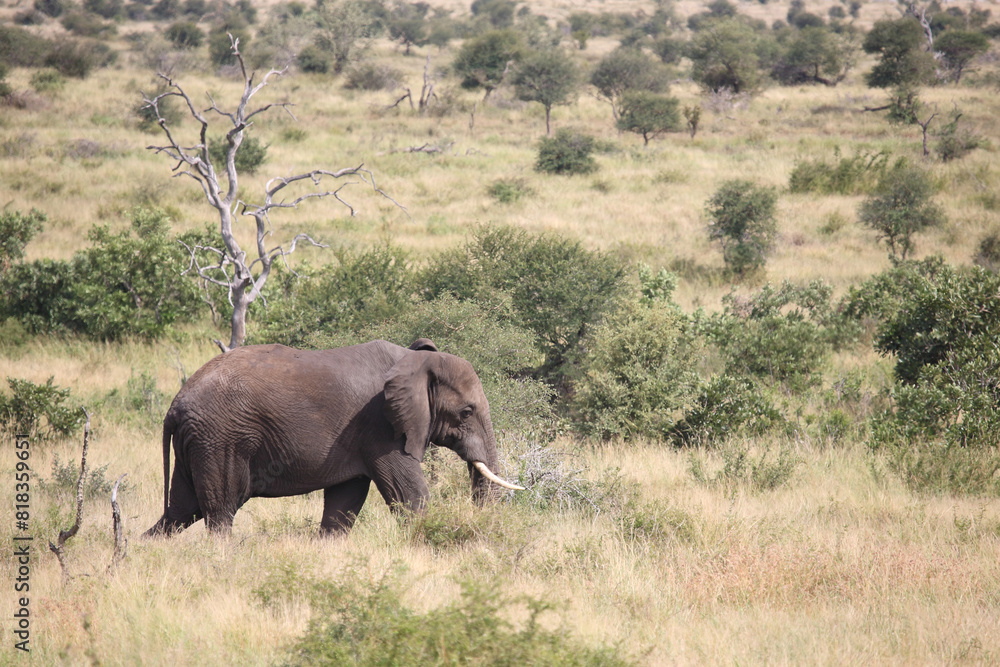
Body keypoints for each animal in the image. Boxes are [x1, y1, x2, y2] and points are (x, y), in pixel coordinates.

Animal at [144, 338, 523, 537]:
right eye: (467, 412)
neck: (415, 360)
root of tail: (175, 405)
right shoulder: (381, 427)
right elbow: (409, 495)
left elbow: (344, 504)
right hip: (221, 440)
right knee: (219, 512)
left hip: (200, 442)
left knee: (180, 511)